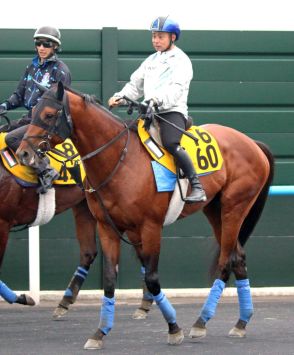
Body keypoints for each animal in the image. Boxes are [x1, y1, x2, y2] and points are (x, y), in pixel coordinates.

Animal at [15, 82, 274, 350]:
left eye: (48, 115)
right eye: (33, 111)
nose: (23, 154)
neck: (121, 160)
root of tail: (252, 143)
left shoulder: (151, 227)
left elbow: (151, 277)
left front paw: (174, 328)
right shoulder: (107, 227)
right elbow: (110, 278)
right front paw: (100, 332)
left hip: (235, 207)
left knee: (226, 260)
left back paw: (201, 322)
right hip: (215, 210)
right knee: (238, 257)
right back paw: (240, 322)